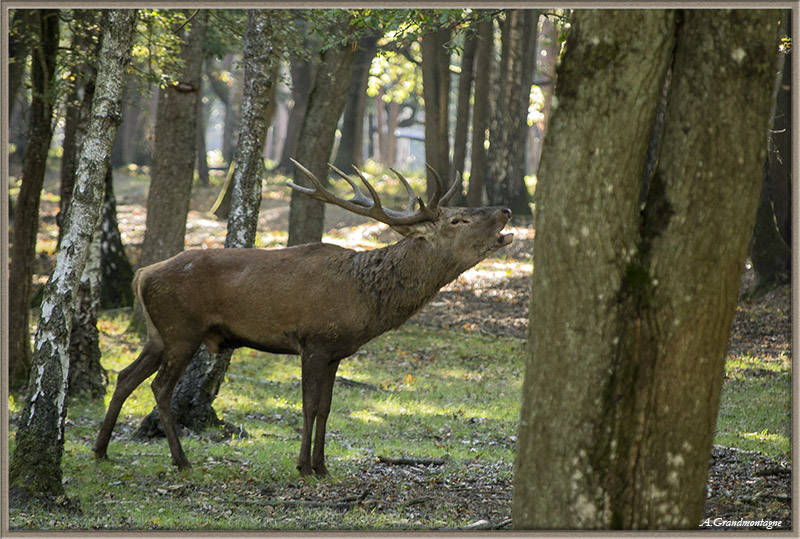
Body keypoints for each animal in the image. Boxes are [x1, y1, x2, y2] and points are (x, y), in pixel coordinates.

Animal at [92, 159, 512, 476]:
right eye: (456, 221)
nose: (506, 210)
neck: (365, 300)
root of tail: (142, 274)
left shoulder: (337, 351)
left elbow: (326, 407)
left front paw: (323, 466)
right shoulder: (314, 340)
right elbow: (309, 405)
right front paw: (304, 466)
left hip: (158, 334)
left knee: (126, 376)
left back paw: (100, 449)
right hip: (182, 330)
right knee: (159, 387)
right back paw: (180, 460)